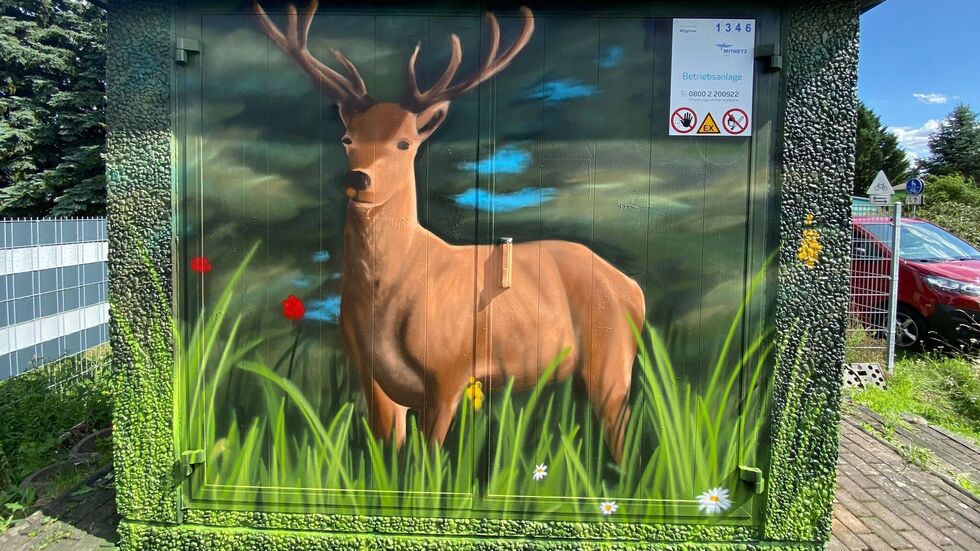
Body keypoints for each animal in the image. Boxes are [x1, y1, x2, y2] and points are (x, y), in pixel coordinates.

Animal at [252, 0, 645, 461]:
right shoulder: (371, 377)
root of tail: (634, 288)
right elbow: (387, 460)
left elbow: (427, 463)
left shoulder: (449, 371)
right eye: (348, 138)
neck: (389, 297)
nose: (358, 178)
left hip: (613, 359)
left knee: (624, 440)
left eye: (404, 143)